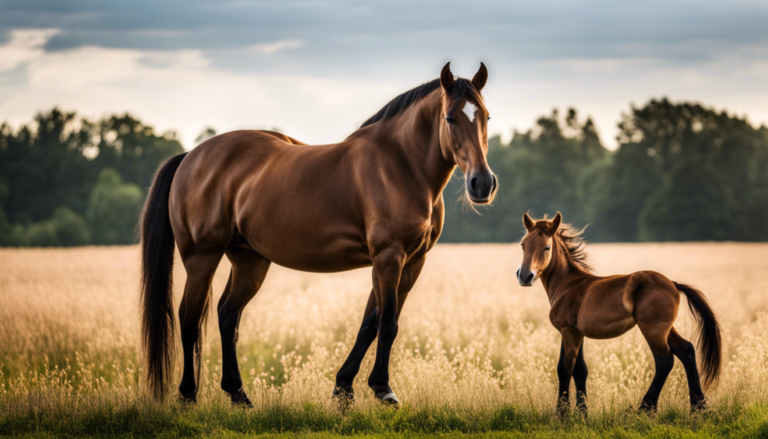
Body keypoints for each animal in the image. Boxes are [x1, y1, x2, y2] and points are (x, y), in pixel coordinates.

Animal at [138, 62, 498, 410]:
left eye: (487, 117)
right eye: (450, 117)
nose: (482, 183)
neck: (400, 166)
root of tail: (190, 156)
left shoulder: (411, 262)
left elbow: (370, 324)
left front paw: (344, 388)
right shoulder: (388, 257)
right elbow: (387, 323)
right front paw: (383, 389)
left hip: (250, 260)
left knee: (227, 315)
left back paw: (238, 395)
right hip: (202, 257)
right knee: (189, 317)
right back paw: (188, 395)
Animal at [516, 213, 720, 416]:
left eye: (547, 247)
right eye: (523, 245)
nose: (525, 276)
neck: (568, 284)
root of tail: (673, 284)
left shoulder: (568, 331)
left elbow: (566, 367)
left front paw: (562, 413)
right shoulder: (575, 332)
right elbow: (580, 369)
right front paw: (582, 412)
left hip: (652, 330)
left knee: (664, 360)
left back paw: (646, 408)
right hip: (666, 328)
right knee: (686, 350)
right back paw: (698, 406)